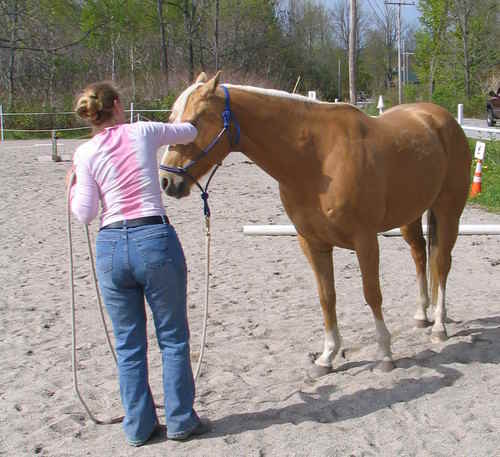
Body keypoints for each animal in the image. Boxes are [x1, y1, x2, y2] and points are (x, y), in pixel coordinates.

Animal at [158, 71, 470, 376]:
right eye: (171, 120)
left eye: (195, 122)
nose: (167, 181)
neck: (317, 158)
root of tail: (439, 118)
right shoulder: (312, 242)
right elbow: (326, 297)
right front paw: (328, 356)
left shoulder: (365, 240)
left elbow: (372, 294)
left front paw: (384, 354)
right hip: (411, 215)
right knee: (420, 255)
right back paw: (422, 315)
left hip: (448, 211)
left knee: (441, 264)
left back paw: (439, 326)